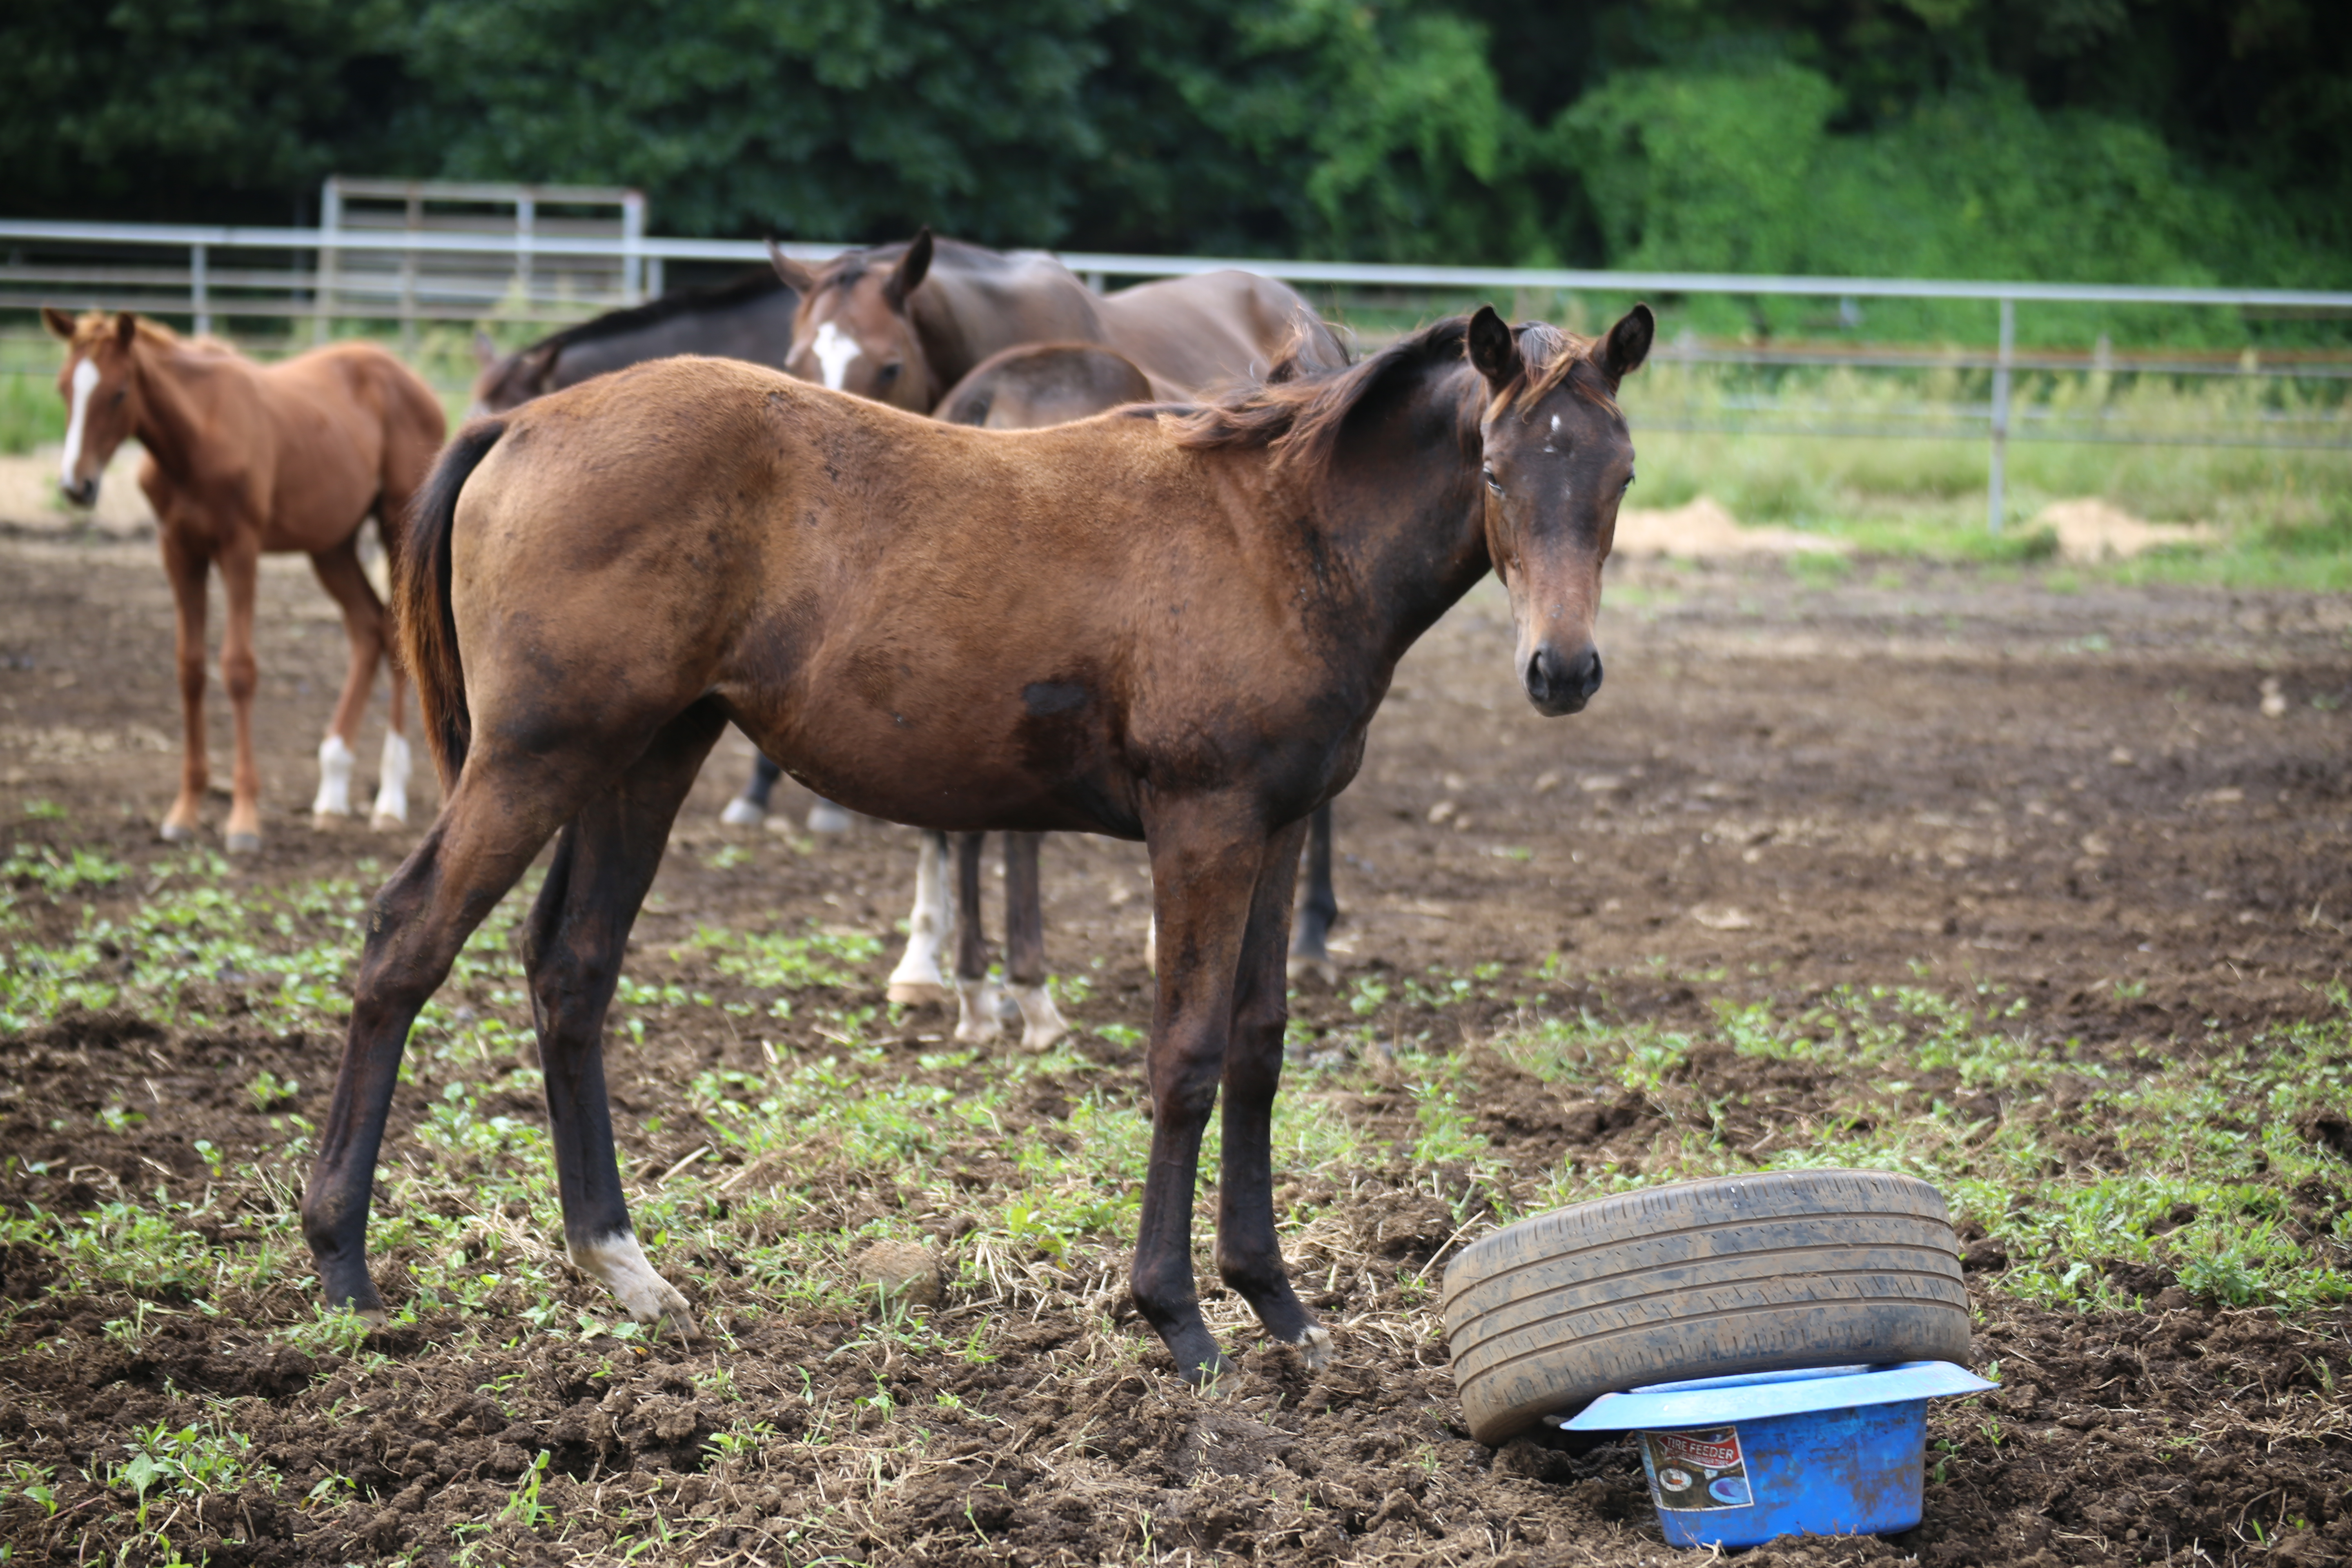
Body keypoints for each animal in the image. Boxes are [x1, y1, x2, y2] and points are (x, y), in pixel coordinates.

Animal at [45, 305, 449, 846]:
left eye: (120, 392)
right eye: (64, 388)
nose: (77, 487)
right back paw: (333, 789)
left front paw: (243, 819)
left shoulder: (240, 549)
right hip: (331, 546)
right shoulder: (179, 552)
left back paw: (389, 800)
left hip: (395, 526)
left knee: (398, 634)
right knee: (370, 628)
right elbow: (191, 668)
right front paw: (185, 811)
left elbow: (238, 669)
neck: (194, 437)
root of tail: (414, 382)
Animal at [308, 301, 1656, 1382]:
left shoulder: (1275, 832)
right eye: (1494, 468)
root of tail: (518, 426)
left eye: (1620, 475)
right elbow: (1185, 1056)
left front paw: (1277, 1301)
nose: (1564, 670)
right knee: (405, 941)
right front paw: (1178, 1318)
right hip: (537, 754)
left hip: (646, 752)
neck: (1278, 530)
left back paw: (621, 1262)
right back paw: (342, 1265)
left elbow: (1261, 1048)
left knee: (573, 967)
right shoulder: (1204, 826)